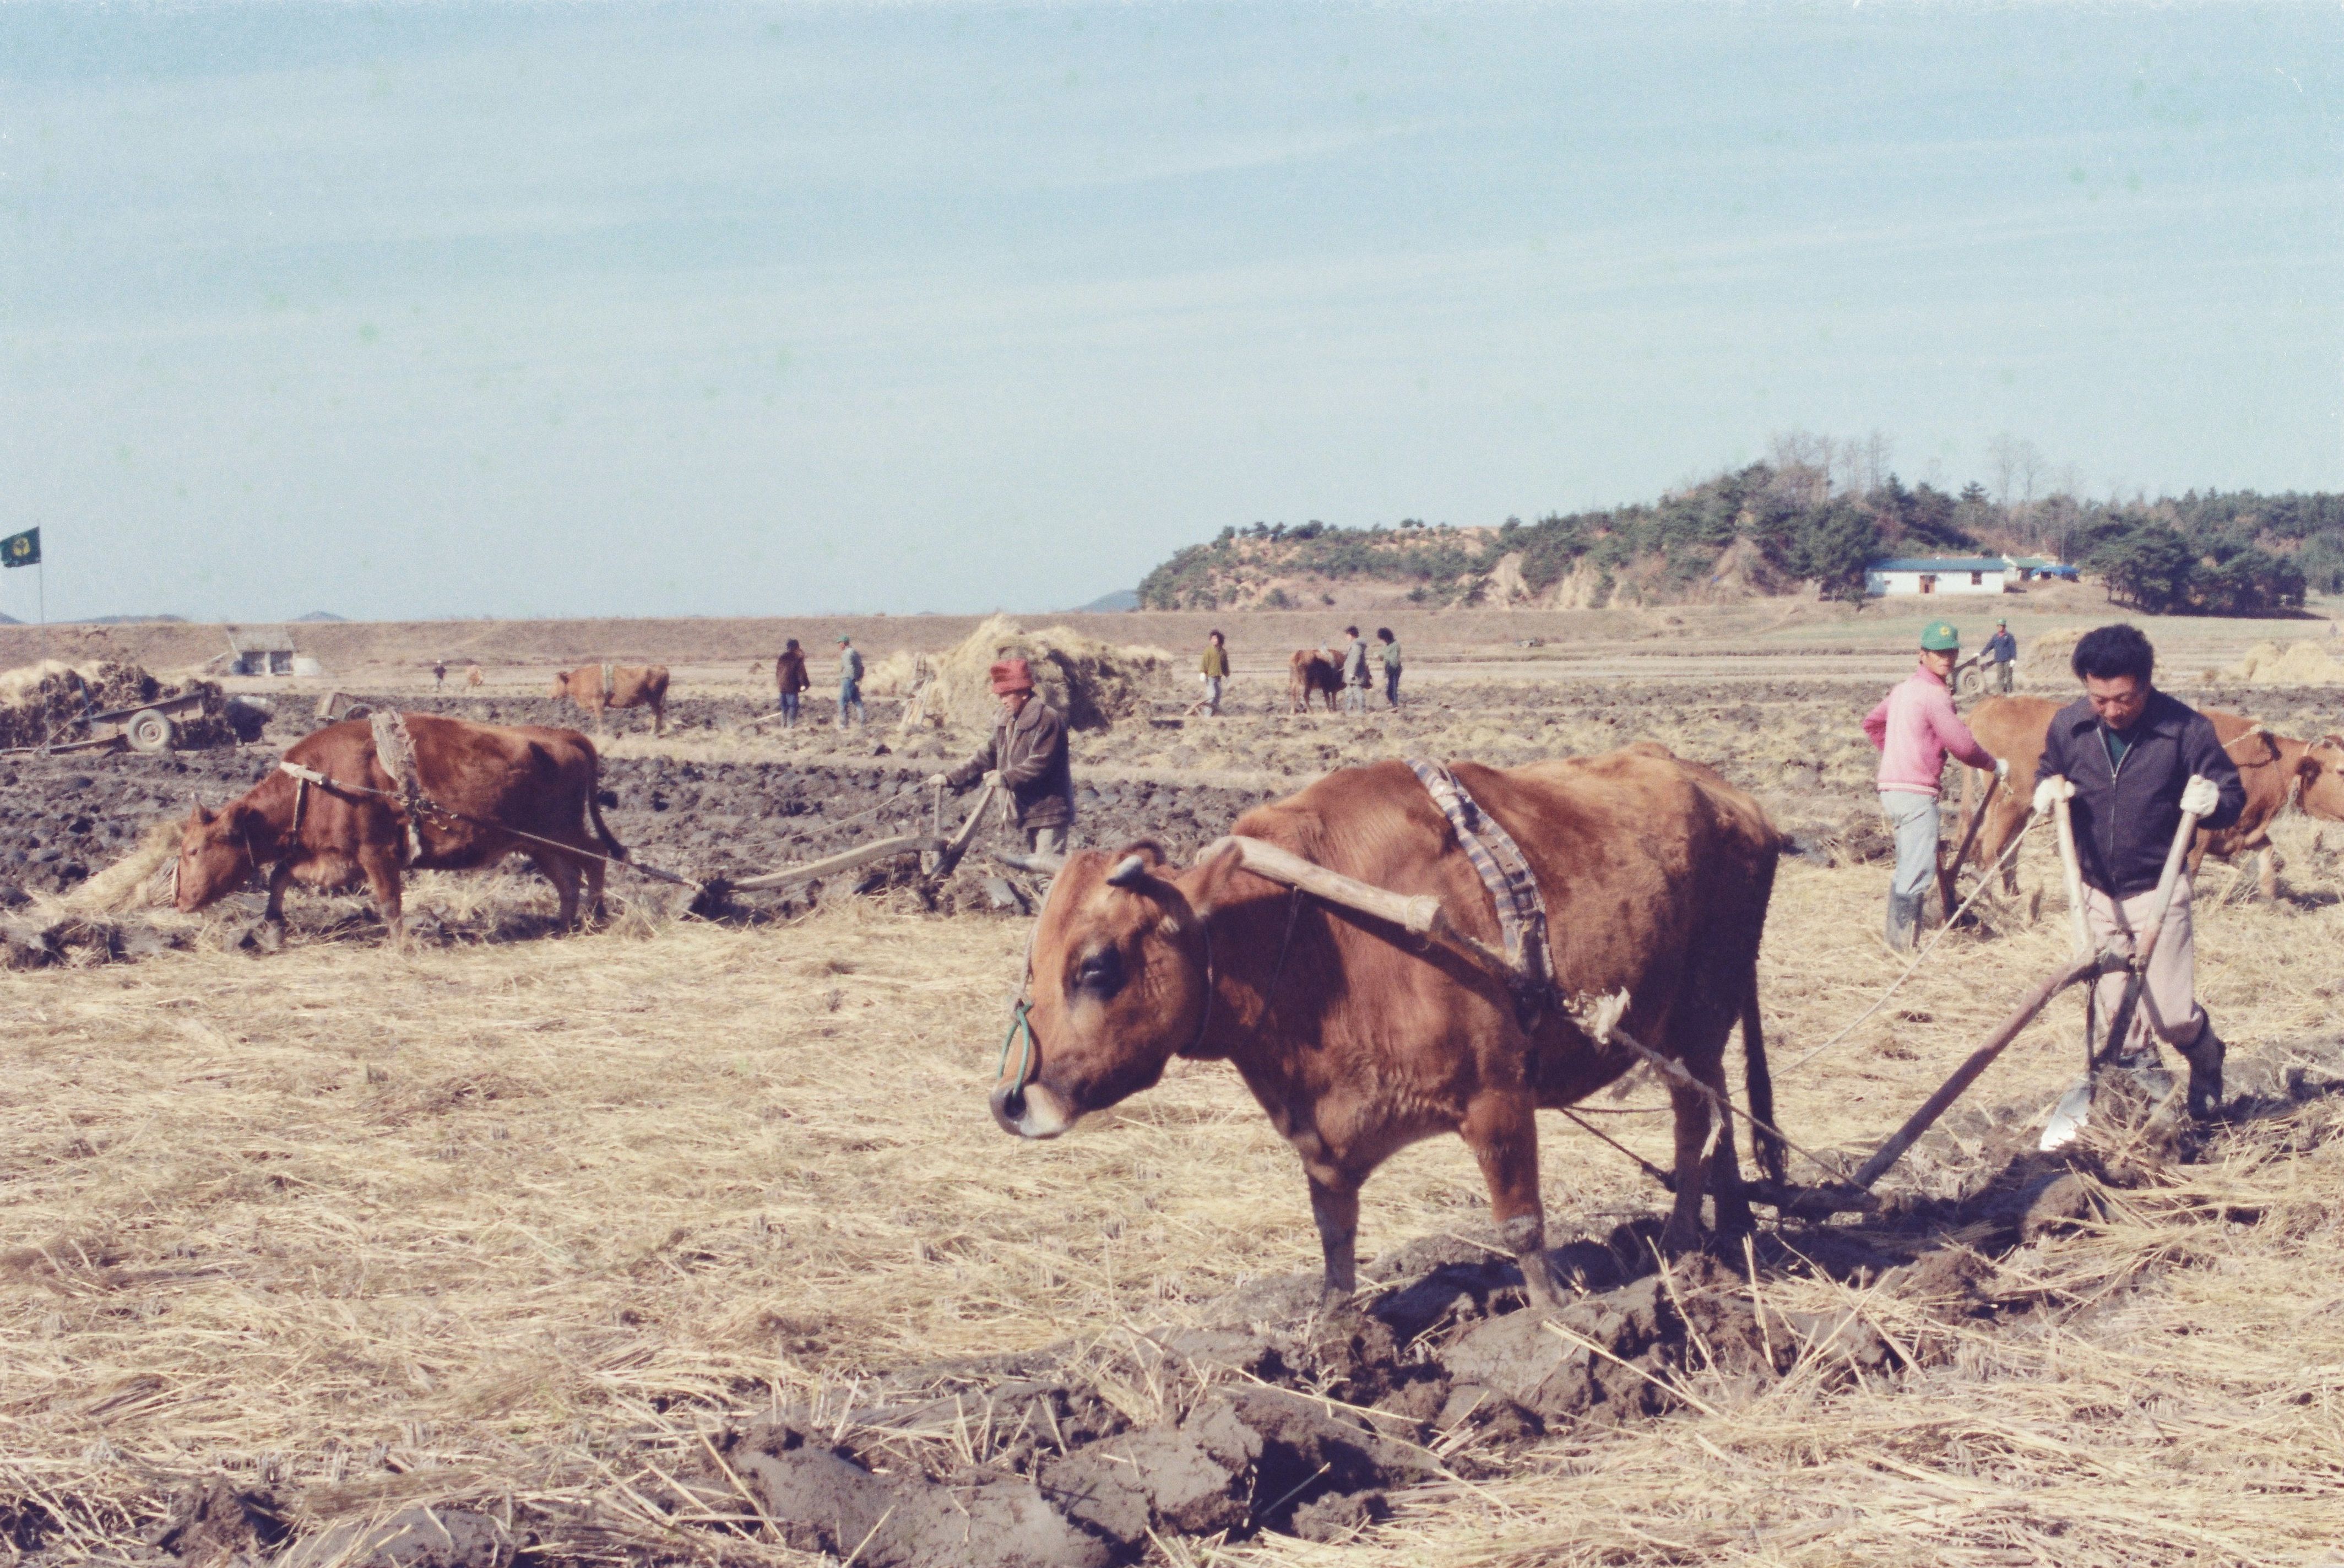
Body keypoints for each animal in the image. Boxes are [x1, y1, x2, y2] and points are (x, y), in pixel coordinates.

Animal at [175, 712, 628, 942]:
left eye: (194, 850)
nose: (180, 900)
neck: (319, 780)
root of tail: (564, 736)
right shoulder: (332, 857)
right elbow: (280, 876)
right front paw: (272, 926)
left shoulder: (377, 853)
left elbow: (390, 902)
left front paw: (399, 944)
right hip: (538, 844)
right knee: (567, 879)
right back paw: (564, 925)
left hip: (561, 833)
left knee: (596, 858)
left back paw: (595, 916)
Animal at [544, 661, 665, 736]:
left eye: (555, 682)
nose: (548, 694)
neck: (580, 680)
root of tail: (660, 667)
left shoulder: (598, 702)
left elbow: (600, 719)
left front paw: (601, 734)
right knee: (657, 713)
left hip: (655, 699)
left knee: (657, 712)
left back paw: (654, 732)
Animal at [984, 745, 1772, 1312]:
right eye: (1031, 960)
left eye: (1096, 965)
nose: (1010, 1101)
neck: (1308, 932)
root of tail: (1727, 796)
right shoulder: (1321, 1141)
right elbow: (1335, 1242)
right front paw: (1333, 1333)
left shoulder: (1498, 1097)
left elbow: (1521, 1225)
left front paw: (1555, 1318)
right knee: (1718, 1113)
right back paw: (1729, 1223)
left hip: (1700, 1015)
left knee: (1692, 1121)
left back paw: (1682, 1243)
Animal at [1284, 647, 1341, 717]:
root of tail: (1299, 654)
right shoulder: (1327, 687)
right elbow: (1329, 698)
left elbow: (1332, 697)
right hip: (1308, 685)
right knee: (1305, 695)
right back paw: (1310, 711)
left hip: (1294, 681)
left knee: (1293, 693)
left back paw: (1293, 712)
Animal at [1950, 693, 2334, 900]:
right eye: (2340, 770)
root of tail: (1991, 704)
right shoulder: (2200, 835)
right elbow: (2190, 868)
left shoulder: (2242, 831)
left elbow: (2267, 854)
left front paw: (2274, 900)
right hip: (2009, 803)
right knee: (1990, 846)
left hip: (2022, 808)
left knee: (2004, 849)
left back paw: (2012, 892)